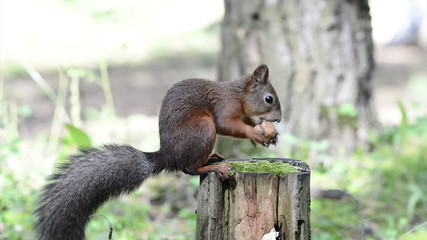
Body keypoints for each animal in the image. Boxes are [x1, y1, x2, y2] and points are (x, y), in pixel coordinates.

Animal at [35, 63, 282, 240]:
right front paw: (256, 134)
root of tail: (168, 155)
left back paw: (213, 157)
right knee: (189, 168)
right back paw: (215, 167)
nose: (278, 119)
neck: (238, 93)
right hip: (203, 129)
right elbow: (227, 125)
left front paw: (269, 134)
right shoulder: (225, 107)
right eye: (268, 99)